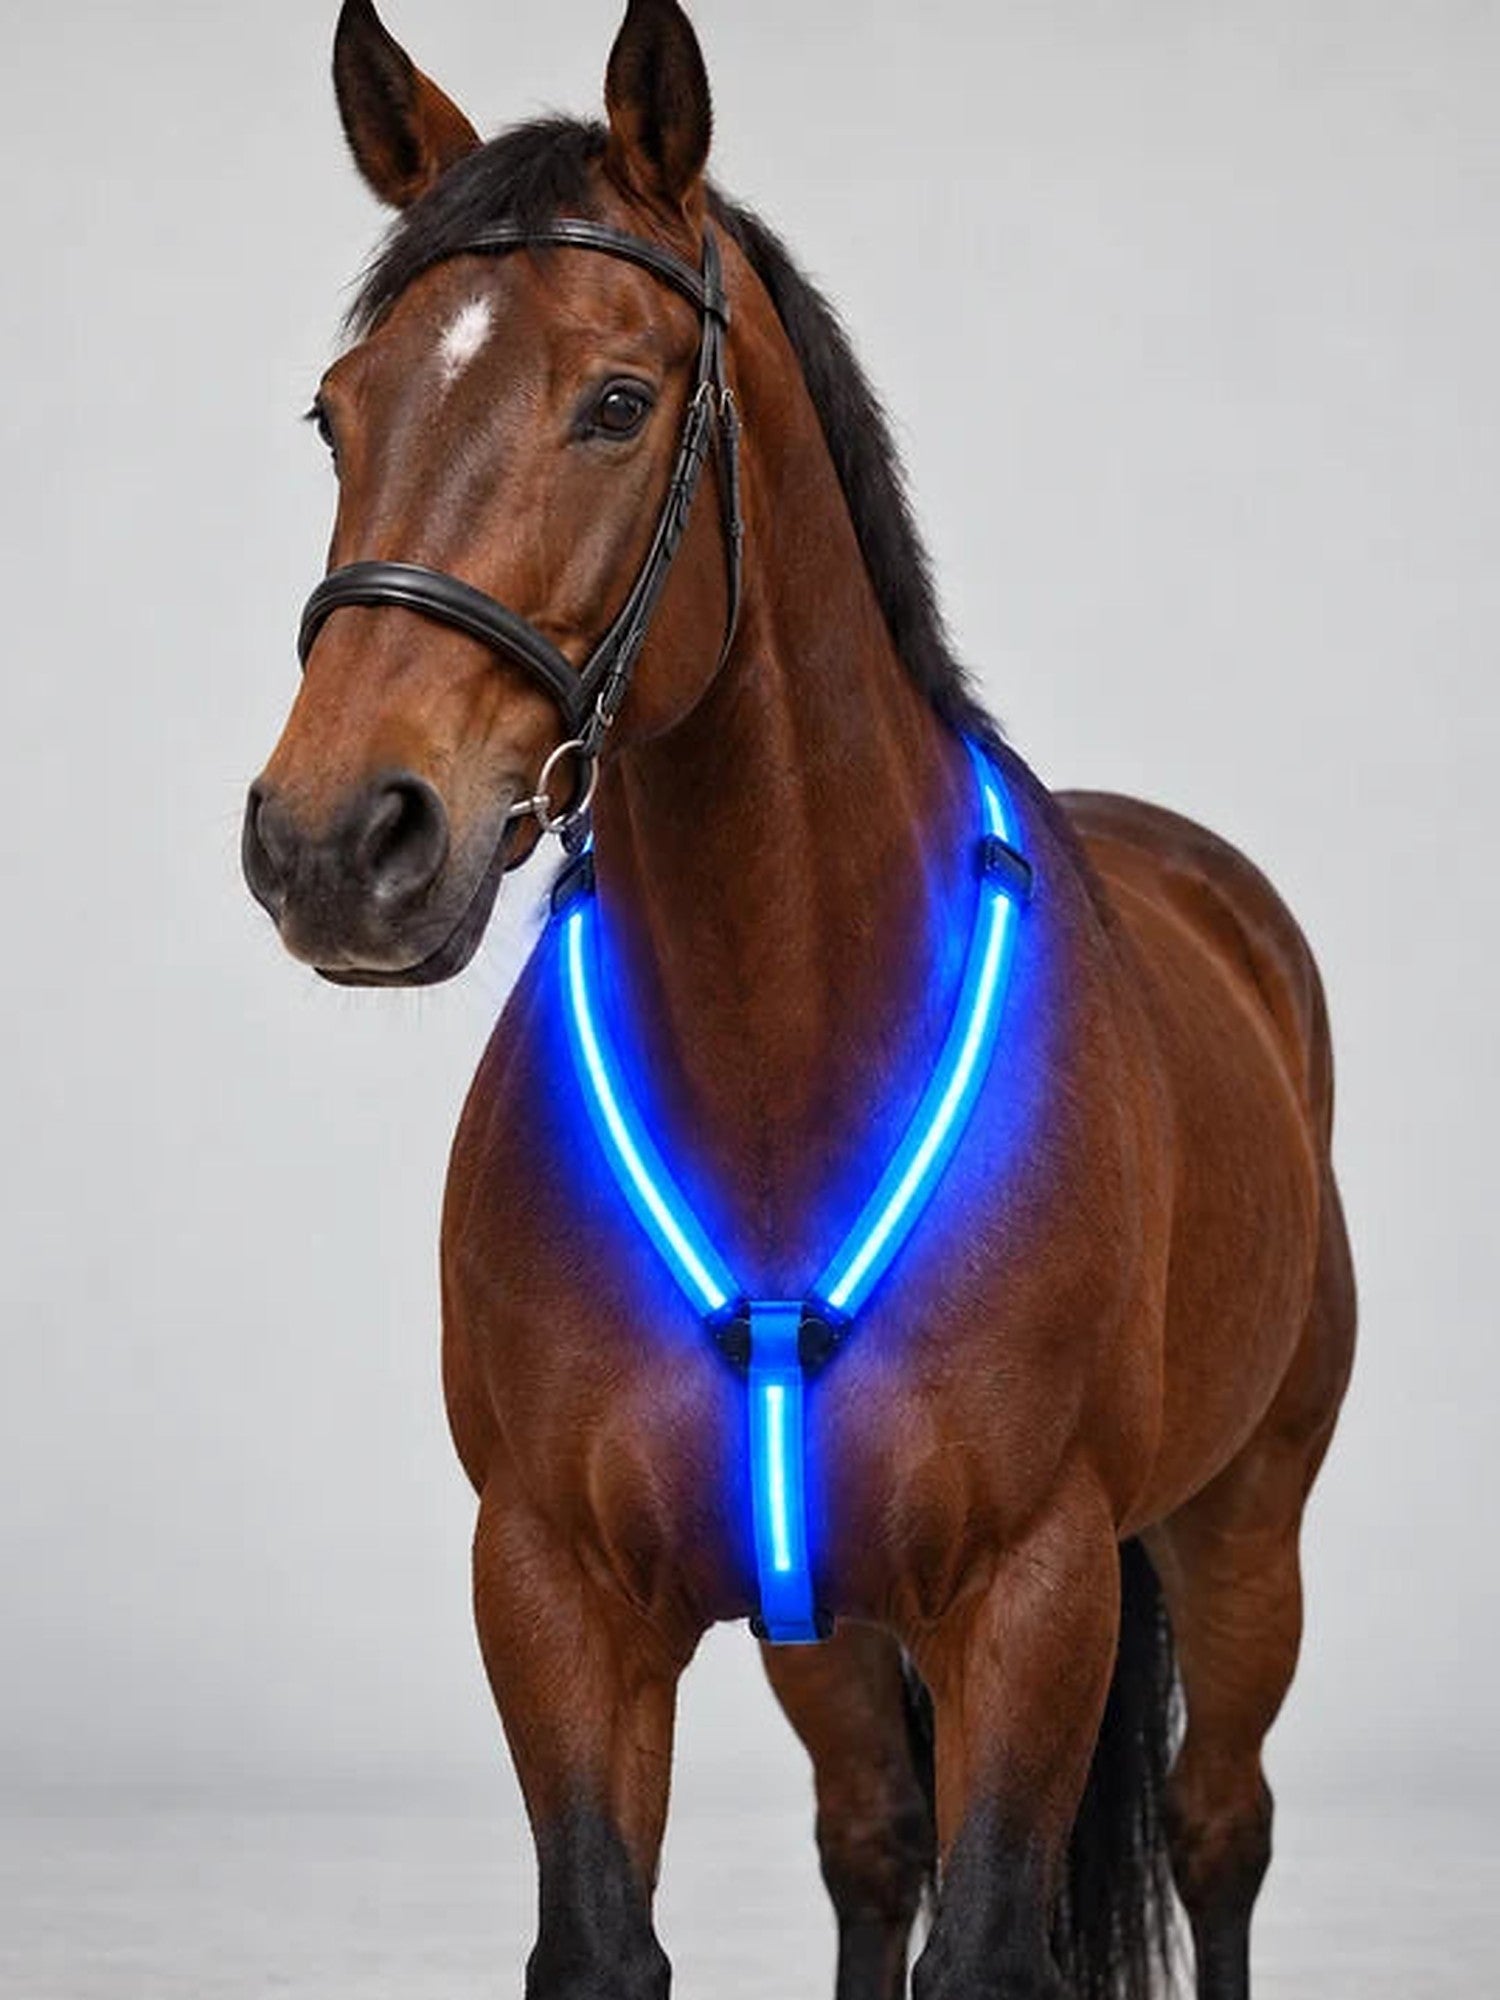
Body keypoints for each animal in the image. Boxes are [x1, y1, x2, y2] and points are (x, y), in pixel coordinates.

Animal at [241, 4, 1356, 1996]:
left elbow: (991, 1941)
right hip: (828, 1631)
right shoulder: (555, 1591)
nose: (332, 840)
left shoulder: (1035, 1595)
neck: (783, 1073)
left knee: (1222, 1831)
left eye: (617, 402)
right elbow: (616, 1935)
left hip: (1246, 1532)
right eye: (336, 409)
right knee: (869, 1843)